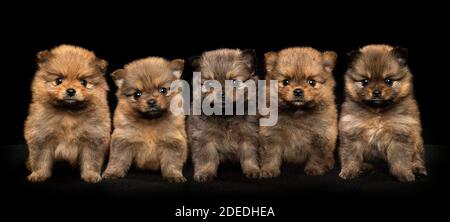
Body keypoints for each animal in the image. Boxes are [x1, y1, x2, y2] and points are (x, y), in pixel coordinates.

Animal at [24, 44, 110, 183]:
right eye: (58, 80)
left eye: (84, 82)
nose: (71, 91)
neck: (69, 112)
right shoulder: (41, 137)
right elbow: (40, 159)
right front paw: (38, 174)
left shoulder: (92, 138)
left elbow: (91, 160)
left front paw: (91, 175)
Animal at [188, 48, 260, 182]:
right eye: (209, 84)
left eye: (234, 82)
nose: (221, 93)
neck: (226, 115)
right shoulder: (204, 138)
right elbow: (207, 157)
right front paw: (205, 172)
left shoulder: (249, 135)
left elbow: (249, 154)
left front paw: (252, 169)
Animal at [258, 47, 336, 178]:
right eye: (285, 82)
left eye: (312, 82)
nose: (298, 91)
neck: (298, 112)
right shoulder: (272, 135)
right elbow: (270, 154)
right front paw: (269, 169)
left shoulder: (321, 136)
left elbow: (317, 156)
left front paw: (315, 169)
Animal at [340, 44, 428, 181]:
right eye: (365, 81)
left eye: (388, 81)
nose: (376, 92)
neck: (377, 112)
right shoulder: (352, 133)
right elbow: (351, 156)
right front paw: (349, 171)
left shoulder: (400, 134)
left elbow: (400, 159)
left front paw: (404, 173)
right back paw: (364, 167)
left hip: (417, 141)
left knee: (417, 157)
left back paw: (417, 168)